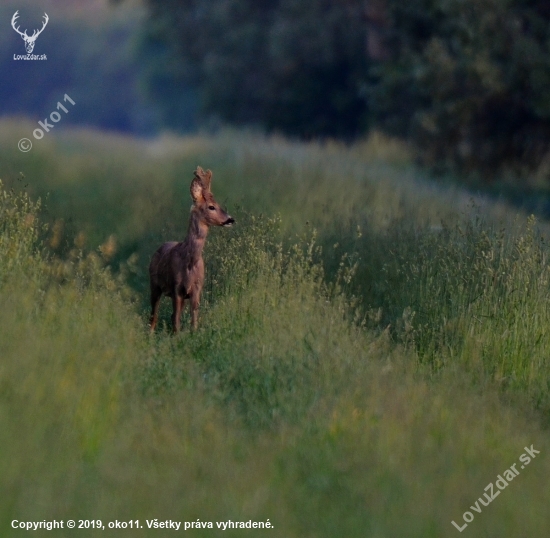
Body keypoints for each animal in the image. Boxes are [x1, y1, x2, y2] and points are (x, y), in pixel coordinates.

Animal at [150, 165, 236, 330]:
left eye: (219, 204)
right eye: (211, 207)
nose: (231, 219)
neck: (189, 262)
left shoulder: (196, 289)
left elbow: (193, 320)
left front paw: (193, 334)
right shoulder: (176, 287)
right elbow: (176, 321)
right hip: (154, 284)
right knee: (154, 316)